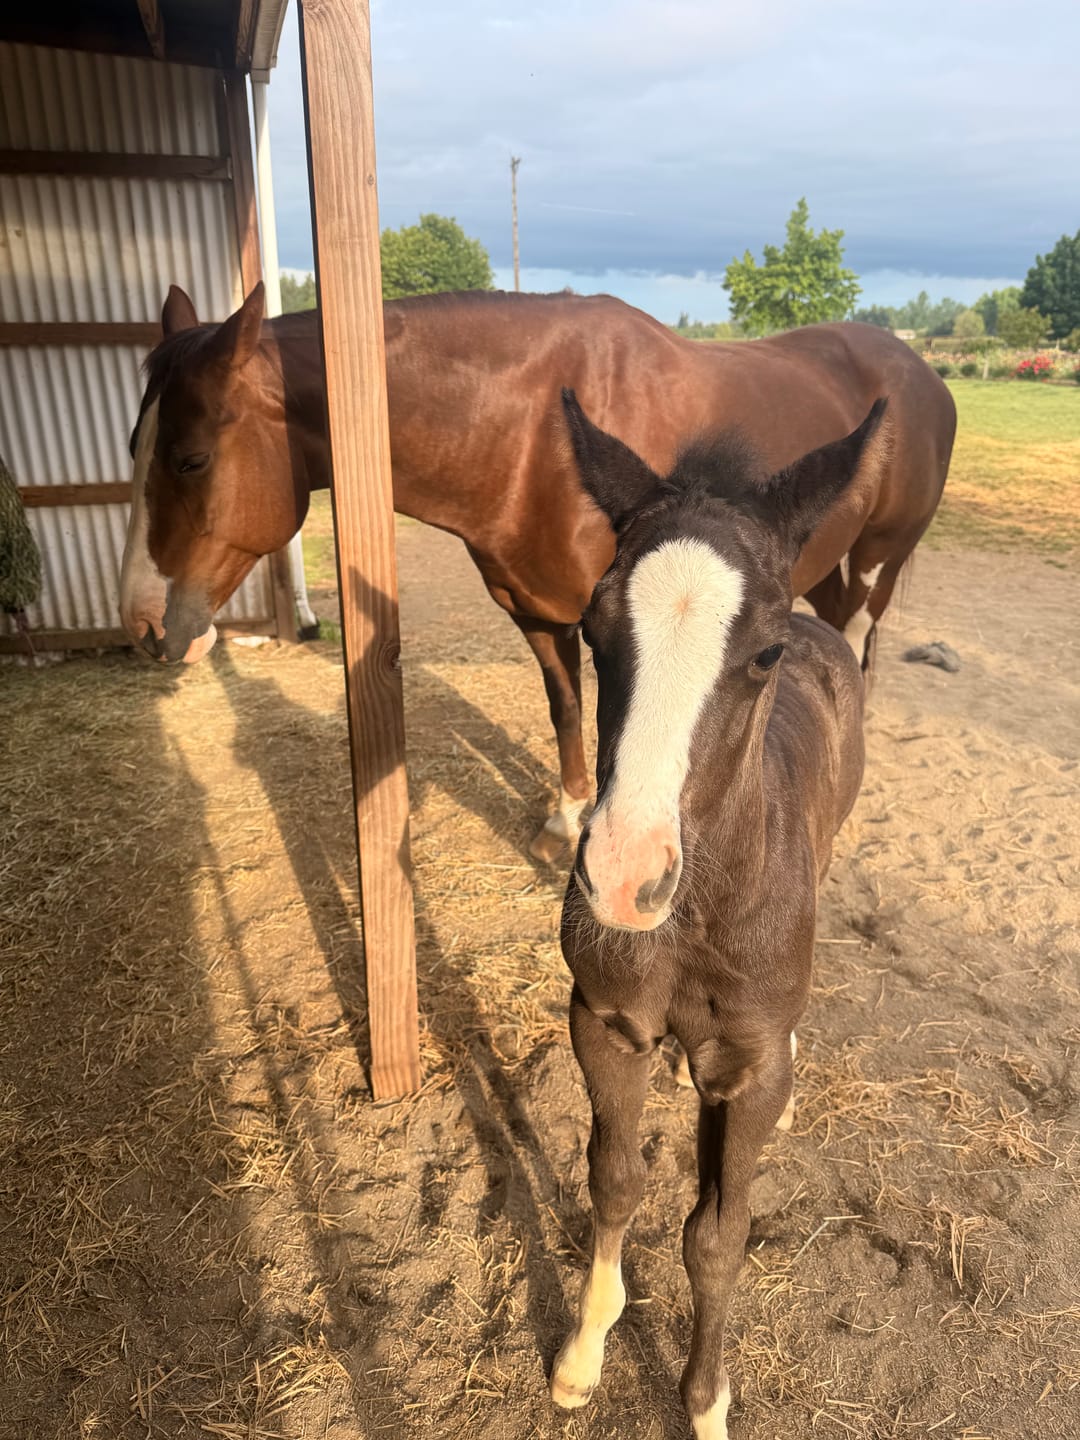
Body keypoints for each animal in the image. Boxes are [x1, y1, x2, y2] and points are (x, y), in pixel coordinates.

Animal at [119, 284, 953, 860]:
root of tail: (928, 376)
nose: (143, 623)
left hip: (875, 562)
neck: (532, 430)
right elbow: (567, 711)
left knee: (856, 642)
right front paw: (566, 820)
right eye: (134, 445)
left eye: (191, 459)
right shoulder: (542, 612)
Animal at [549, 389, 872, 1438]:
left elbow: (716, 1238)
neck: (694, 924)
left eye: (763, 652)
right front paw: (583, 1352)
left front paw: (704, 1406)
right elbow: (615, 1179)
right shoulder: (605, 1020)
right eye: (589, 627)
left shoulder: (744, 1068)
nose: (620, 878)